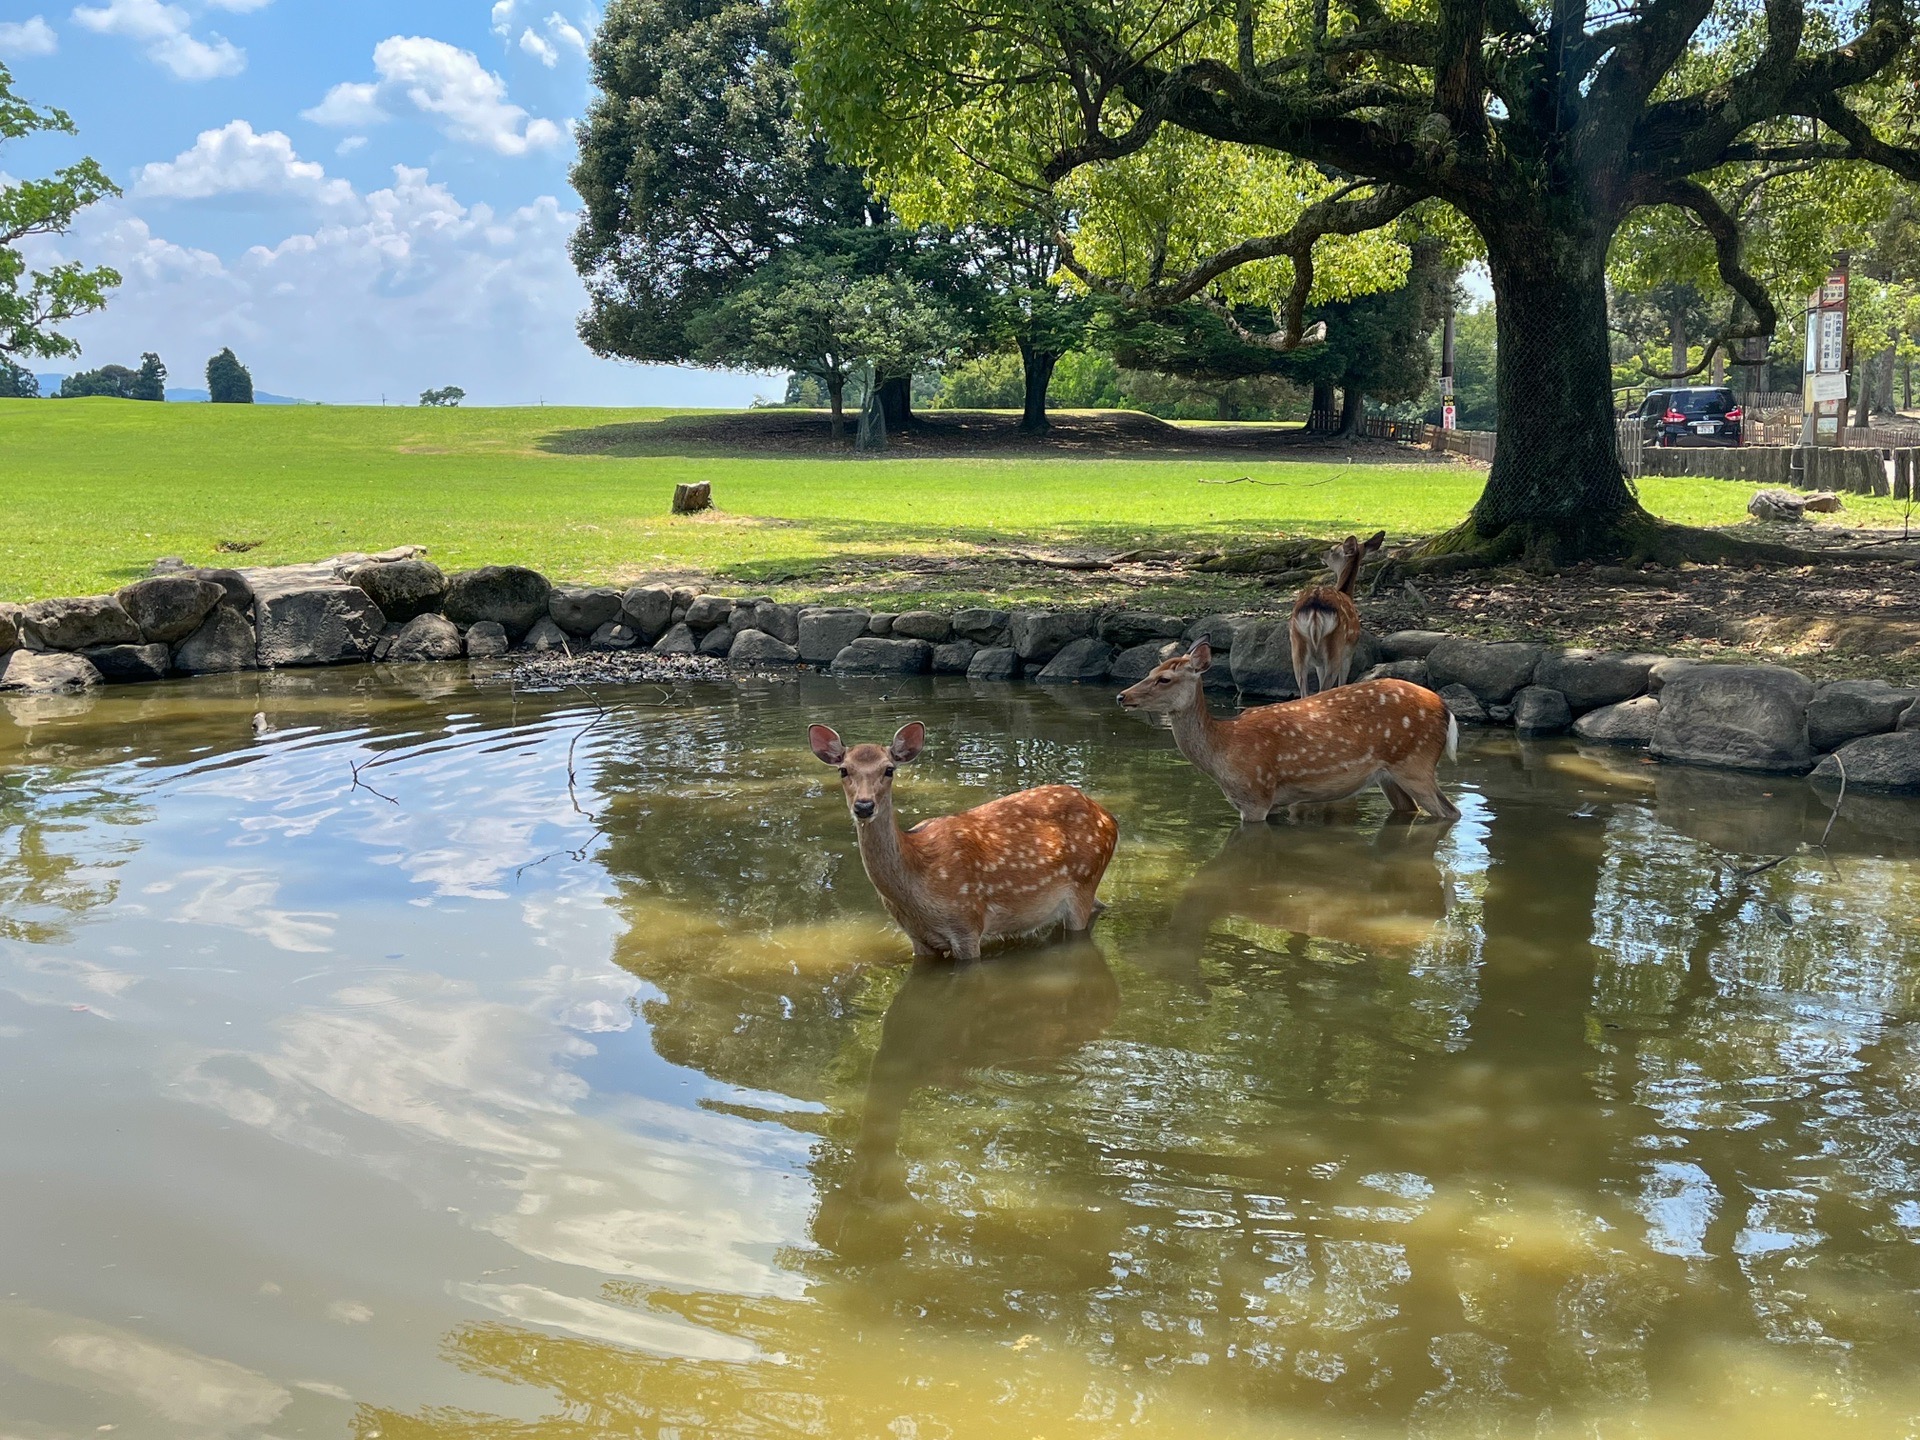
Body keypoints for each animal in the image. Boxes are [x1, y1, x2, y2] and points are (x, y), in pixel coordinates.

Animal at [802, 725, 1121, 963]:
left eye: (889, 769)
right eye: (843, 770)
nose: (864, 806)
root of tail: (1109, 818)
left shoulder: (967, 922)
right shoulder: (917, 938)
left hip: (1084, 880)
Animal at [1113, 641, 1451, 821]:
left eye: (1165, 679)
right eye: (1149, 671)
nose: (1122, 696)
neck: (1222, 751)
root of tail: (1445, 709)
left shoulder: (1255, 794)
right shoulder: (1272, 802)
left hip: (1416, 763)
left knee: (1448, 812)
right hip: (1389, 775)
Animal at [1290, 529, 1382, 698]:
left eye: (1333, 550)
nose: (1321, 553)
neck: (1345, 591)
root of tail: (1315, 611)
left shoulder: (1320, 663)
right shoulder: (1349, 652)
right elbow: (1342, 683)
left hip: (1297, 646)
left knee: (1305, 692)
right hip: (1335, 648)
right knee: (1323, 689)